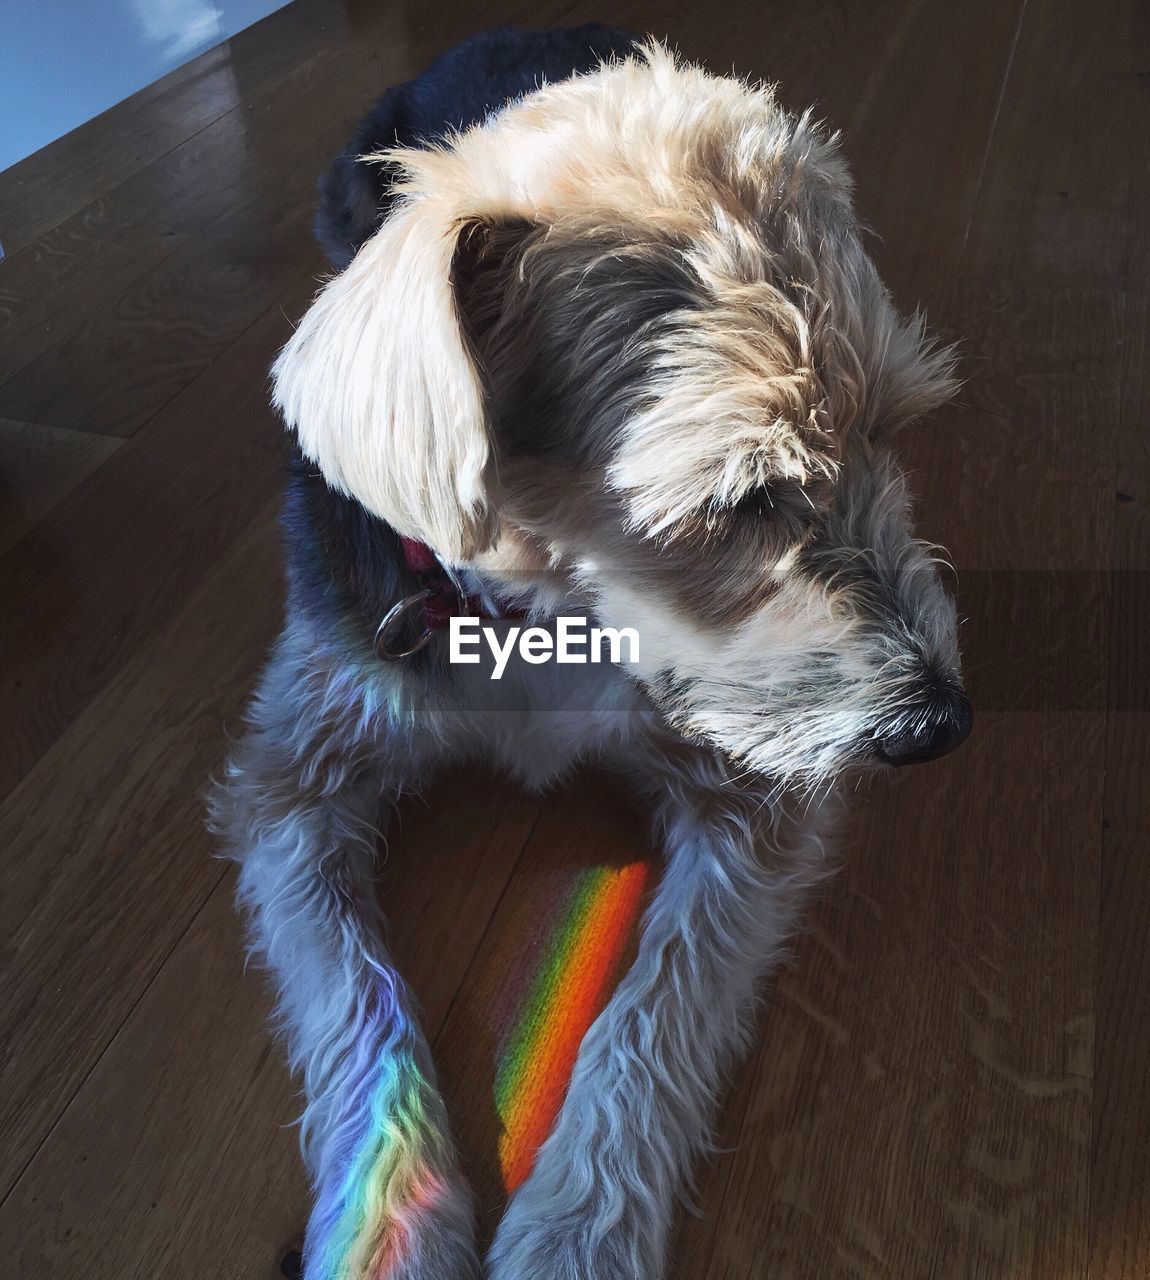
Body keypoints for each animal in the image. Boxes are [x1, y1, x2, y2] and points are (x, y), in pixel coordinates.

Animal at [208, 27, 968, 1280]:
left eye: (891, 429)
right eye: (737, 497)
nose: (941, 722)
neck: (547, 603)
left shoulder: (747, 794)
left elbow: (659, 1005)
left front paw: (574, 1231)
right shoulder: (291, 781)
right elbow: (354, 995)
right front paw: (391, 1236)